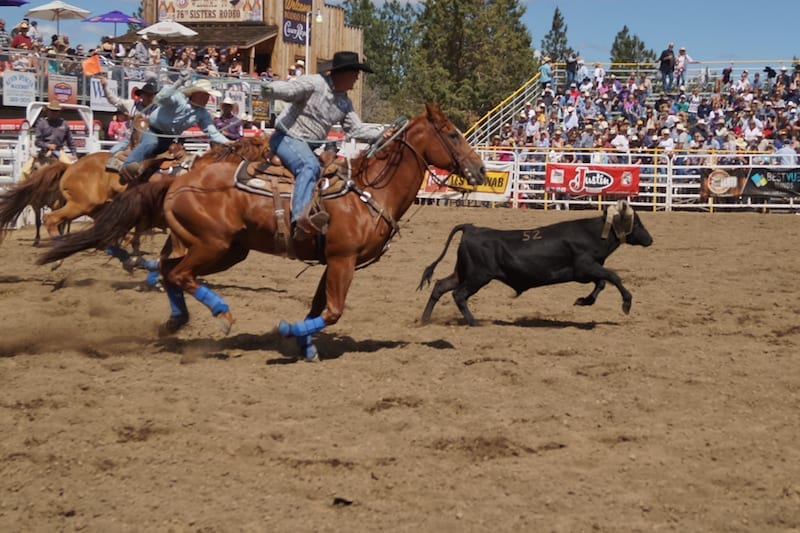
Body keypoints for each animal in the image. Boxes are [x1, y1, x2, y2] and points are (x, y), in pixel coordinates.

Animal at [40, 103, 488, 362]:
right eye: (452, 133)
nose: (481, 169)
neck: (368, 190)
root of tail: (177, 179)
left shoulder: (331, 262)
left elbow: (317, 307)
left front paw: (305, 345)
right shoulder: (342, 260)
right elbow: (333, 310)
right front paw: (288, 332)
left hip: (222, 249)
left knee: (169, 272)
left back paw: (175, 320)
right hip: (214, 245)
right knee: (180, 274)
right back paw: (220, 315)